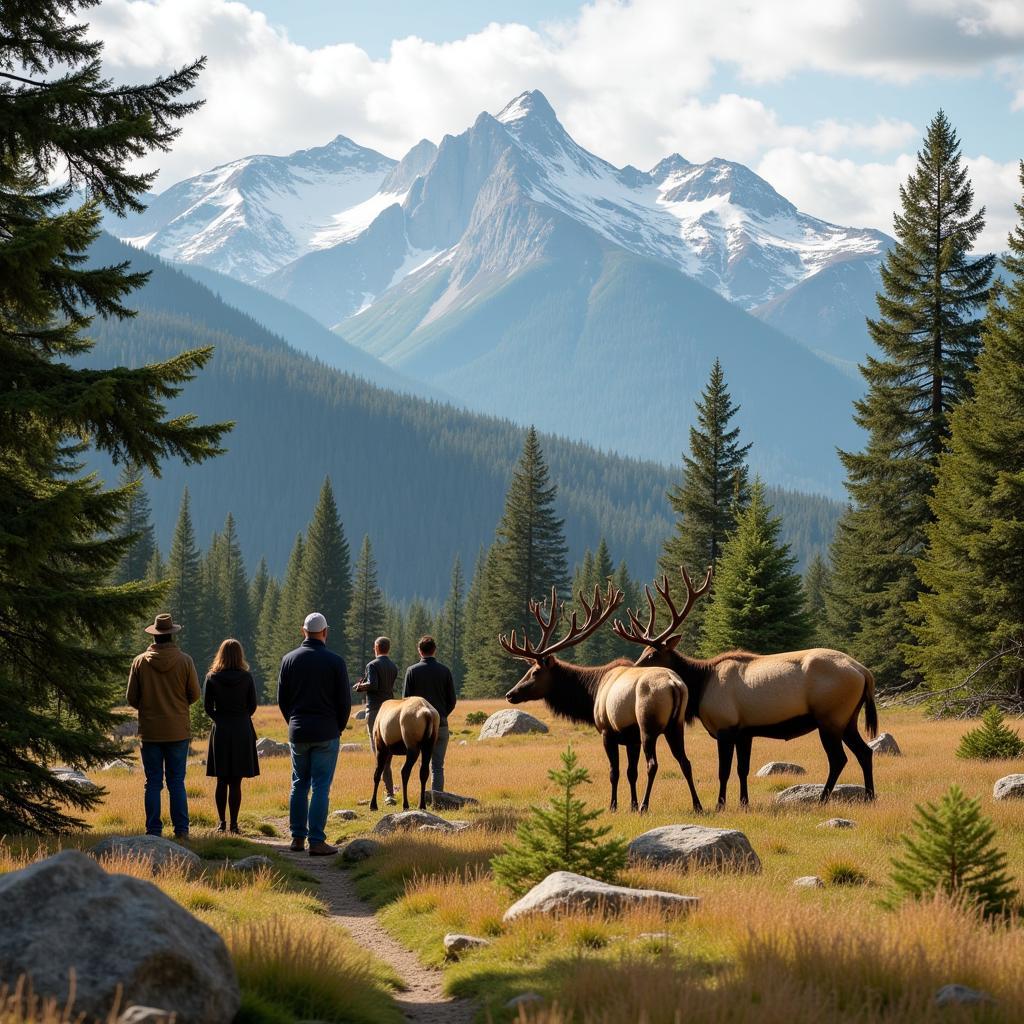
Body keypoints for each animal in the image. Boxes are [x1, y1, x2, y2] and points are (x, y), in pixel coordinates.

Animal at [497, 585, 704, 815]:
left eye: (534, 672)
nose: (510, 694)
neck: (592, 693)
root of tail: (675, 685)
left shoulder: (607, 731)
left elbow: (614, 772)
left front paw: (614, 805)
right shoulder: (631, 737)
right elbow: (631, 772)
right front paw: (631, 805)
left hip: (648, 725)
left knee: (653, 764)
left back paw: (645, 805)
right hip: (676, 725)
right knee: (685, 761)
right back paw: (697, 805)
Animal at [610, 569, 876, 806]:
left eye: (651, 654)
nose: (631, 669)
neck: (699, 686)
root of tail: (864, 672)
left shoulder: (725, 727)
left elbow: (724, 771)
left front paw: (720, 804)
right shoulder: (745, 731)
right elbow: (742, 769)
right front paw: (743, 802)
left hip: (830, 716)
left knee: (839, 759)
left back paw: (823, 799)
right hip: (848, 718)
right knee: (864, 752)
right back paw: (869, 797)